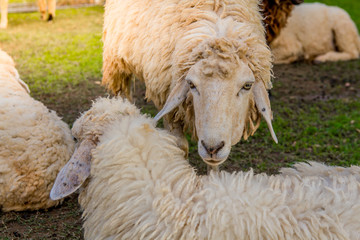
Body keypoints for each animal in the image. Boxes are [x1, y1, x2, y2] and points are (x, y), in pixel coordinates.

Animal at [102, 0, 278, 168]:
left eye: (247, 85)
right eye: (191, 84)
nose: (212, 148)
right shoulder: (168, 100)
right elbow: (180, 147)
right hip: (117, 59)